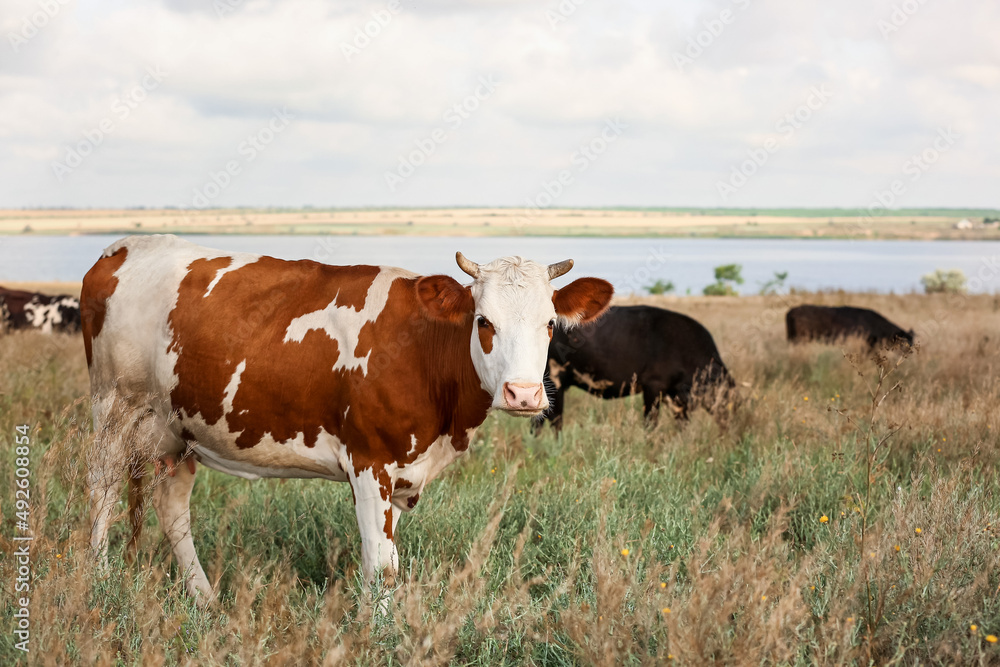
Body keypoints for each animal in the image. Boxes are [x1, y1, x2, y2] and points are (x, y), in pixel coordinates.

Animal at [82, 235, 612, 600]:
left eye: (549, 323)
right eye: (484, 321)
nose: (523, 394)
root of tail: (119, 248)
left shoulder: (401, 473)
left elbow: (387, 559)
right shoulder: (369, 461)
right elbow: (381, 567)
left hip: (176, 433)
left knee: (173, 511)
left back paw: (205, 600)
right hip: (113, 409)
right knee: (101, 492)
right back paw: (100, 582)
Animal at [540, 306, 736, 430]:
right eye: (730, 402)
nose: (733, 430)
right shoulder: (653, 387)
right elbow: (650, 424)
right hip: (554, 382)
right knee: (553, 421)